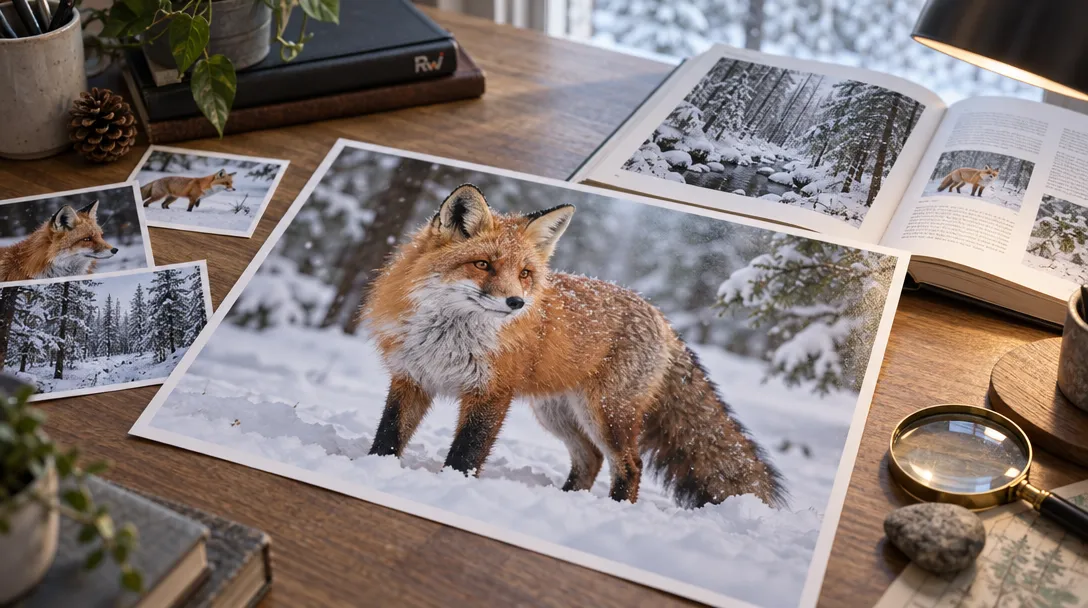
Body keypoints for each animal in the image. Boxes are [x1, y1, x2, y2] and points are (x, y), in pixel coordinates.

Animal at [361, 184, 786, 509]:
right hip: (559, 413)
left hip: (606, 414)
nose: (517, 303)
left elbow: (465, 454)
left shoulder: (491, 394)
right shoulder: (411, 378)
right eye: (483, 265)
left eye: (525, 274)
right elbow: (388, 436)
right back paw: (568, 499)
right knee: (590, 460)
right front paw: (372, 468)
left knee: (630, 465)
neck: (449, 338)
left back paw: (615, 510)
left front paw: (451, 486)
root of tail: (660, 316)